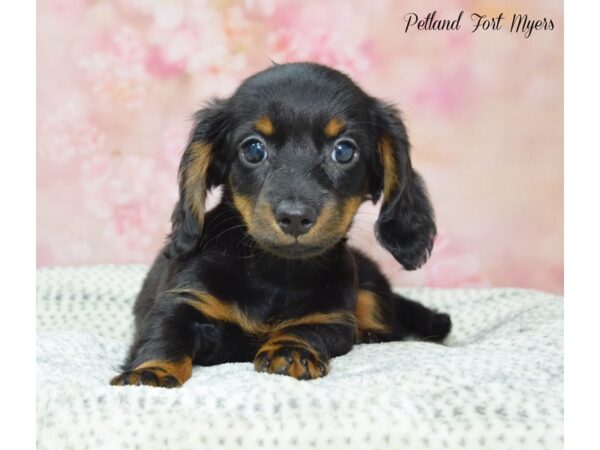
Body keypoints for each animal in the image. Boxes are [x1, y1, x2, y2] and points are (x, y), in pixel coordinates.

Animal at [111, 61, 450, 388]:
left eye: (343, 151)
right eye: (253, 149)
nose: (295, 217)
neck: (273, 271)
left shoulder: (331, 317)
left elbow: (308, 329)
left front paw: (291, 350)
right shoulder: (183, 300)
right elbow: (163, 336)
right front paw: (151, 372)